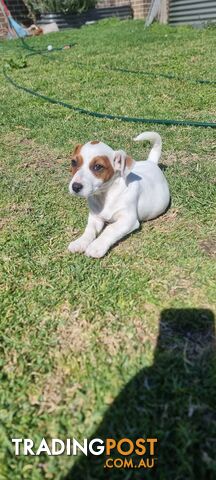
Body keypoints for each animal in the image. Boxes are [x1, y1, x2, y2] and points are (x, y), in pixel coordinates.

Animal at [68, 130, 170, 258]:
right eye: (73, 162)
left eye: (98, 166)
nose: (75, 186)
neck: (106, 195)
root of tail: (151, 162)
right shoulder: (95, 218)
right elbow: (89, 230)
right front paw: (80, 242)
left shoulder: (128, 220)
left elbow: (110, 229)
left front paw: (96, 246)